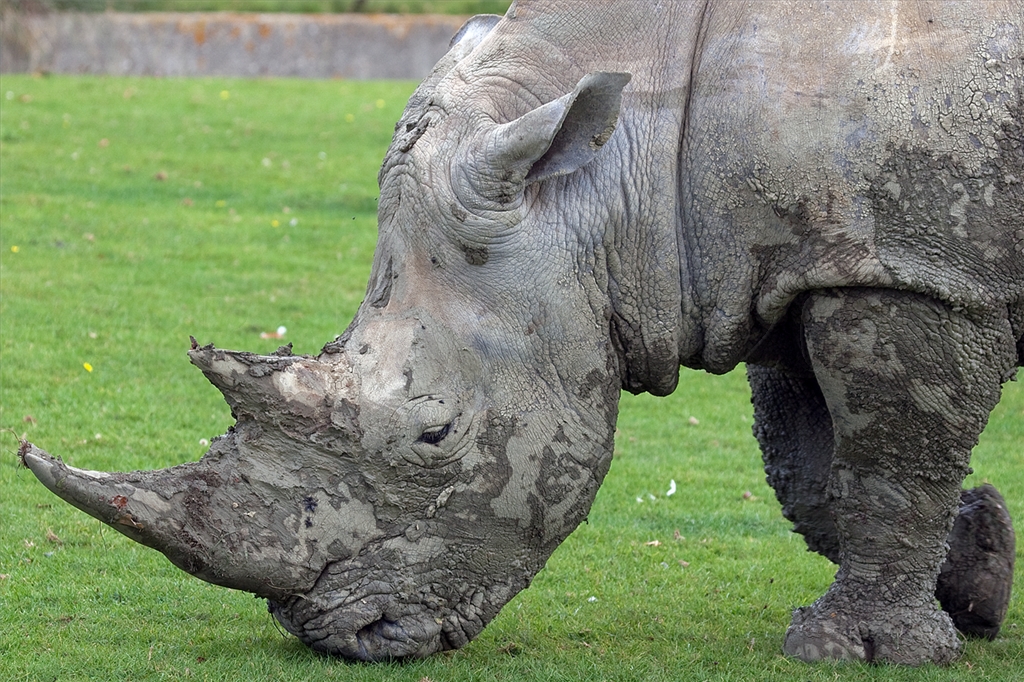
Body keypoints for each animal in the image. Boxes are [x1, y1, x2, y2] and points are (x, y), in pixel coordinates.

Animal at [20, 0, 1023, 666]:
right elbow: (814, 470)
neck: (623, 168)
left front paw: (864, 650)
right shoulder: (798, 263)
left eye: (435, 435)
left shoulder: (911, 269)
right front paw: (979, 571)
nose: (343, 638)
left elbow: (890, 460)